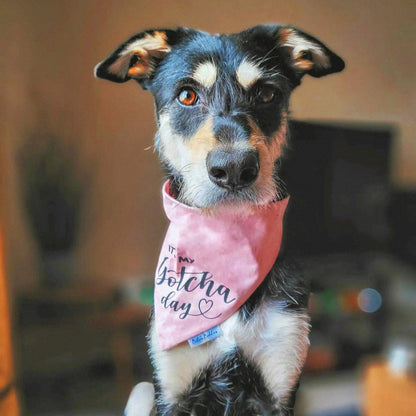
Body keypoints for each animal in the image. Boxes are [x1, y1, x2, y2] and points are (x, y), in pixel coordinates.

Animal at [95, 25, 344, 416]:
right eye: (186, 95)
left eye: (267, 93)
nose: (234, 169)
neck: (226, 239)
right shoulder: (171, 390)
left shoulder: (280, 381)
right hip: (140, 393)